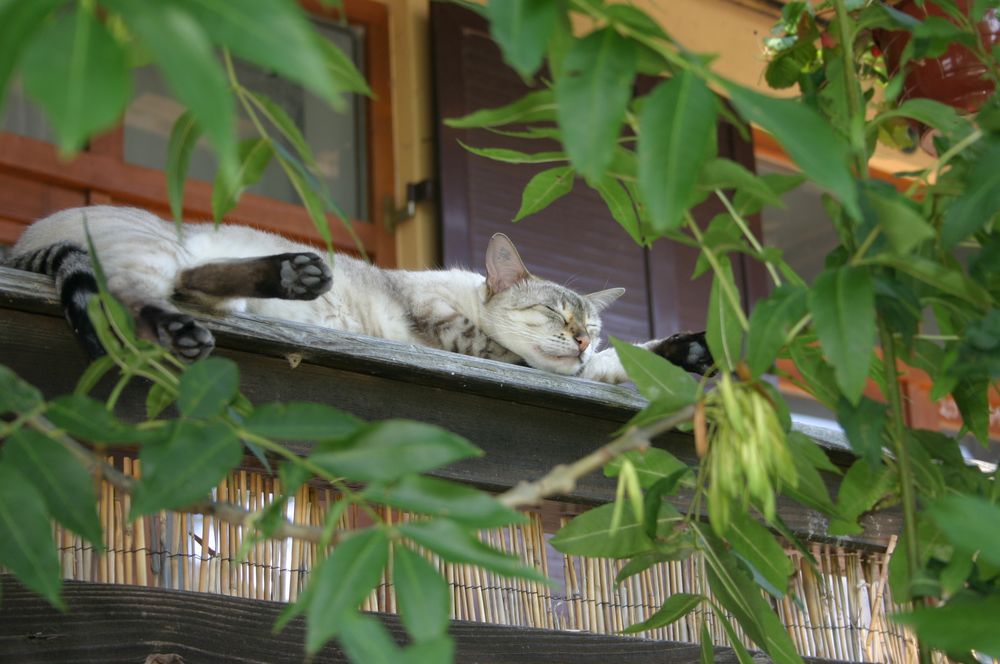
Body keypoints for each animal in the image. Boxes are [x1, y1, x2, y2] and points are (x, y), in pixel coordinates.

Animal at [7, 206, 712, 384]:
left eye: (592, 324)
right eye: (553, 313)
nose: (583, 338)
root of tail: (22, 240)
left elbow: (625, 364)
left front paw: (689, 353)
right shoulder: (460, 335)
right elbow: (585, 371)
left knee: (193, 285)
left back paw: (295, 275)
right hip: (150, 250)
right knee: (133, 297)